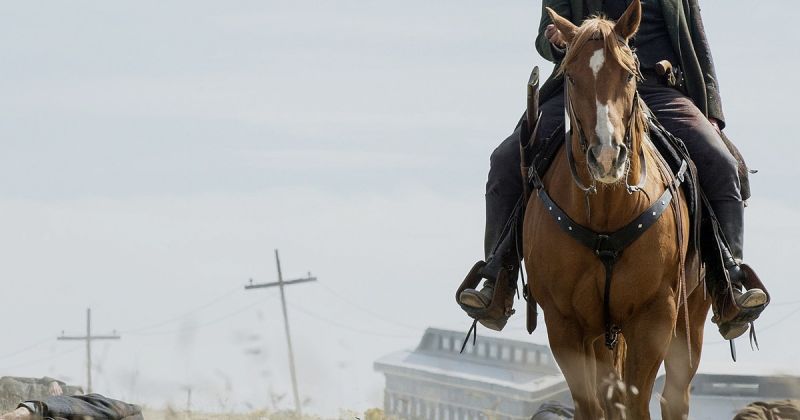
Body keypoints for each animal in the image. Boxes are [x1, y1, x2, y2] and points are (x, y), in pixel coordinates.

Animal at [524, 1, 712, 418]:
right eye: (571, 77)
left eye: (628, 75)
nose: (607, 157)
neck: (608, 211)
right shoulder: (565, 323)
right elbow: (592, 404)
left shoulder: (654, 316)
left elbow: (636, 401)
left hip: (692, 315)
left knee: (675, 397)